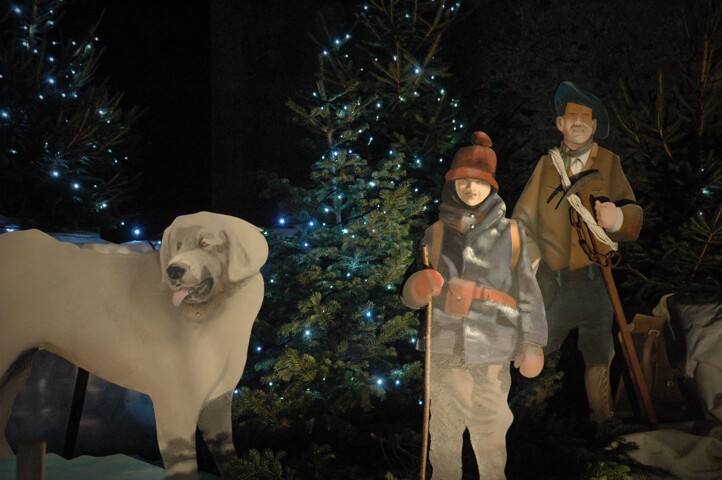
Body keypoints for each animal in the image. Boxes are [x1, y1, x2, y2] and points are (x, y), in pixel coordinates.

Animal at [0, 212, 268, 478]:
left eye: (205, 244)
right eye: (177, 246)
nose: (174, 271)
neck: (208, 314)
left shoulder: (218, 400)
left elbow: (228, 455)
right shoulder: (176, 404)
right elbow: (184, 463)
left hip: (19, 366)